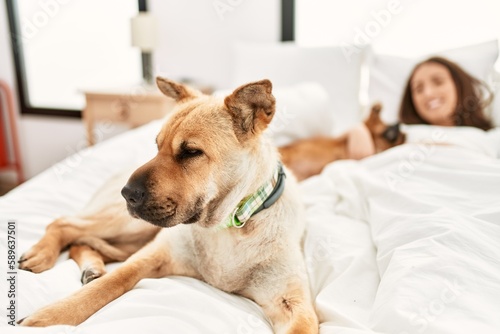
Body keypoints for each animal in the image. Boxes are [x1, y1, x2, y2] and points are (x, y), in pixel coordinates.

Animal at [18, 79, 320, 334]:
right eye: (157, 145)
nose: (126, 194)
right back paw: (42, 254)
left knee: (82, 240)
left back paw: (90, 266)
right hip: (128, 225)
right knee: (64, 223)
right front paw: (52, 315)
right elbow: (108, 284)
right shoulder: (152, 255)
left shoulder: (290, 299)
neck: (227, 226)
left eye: (191, 152)